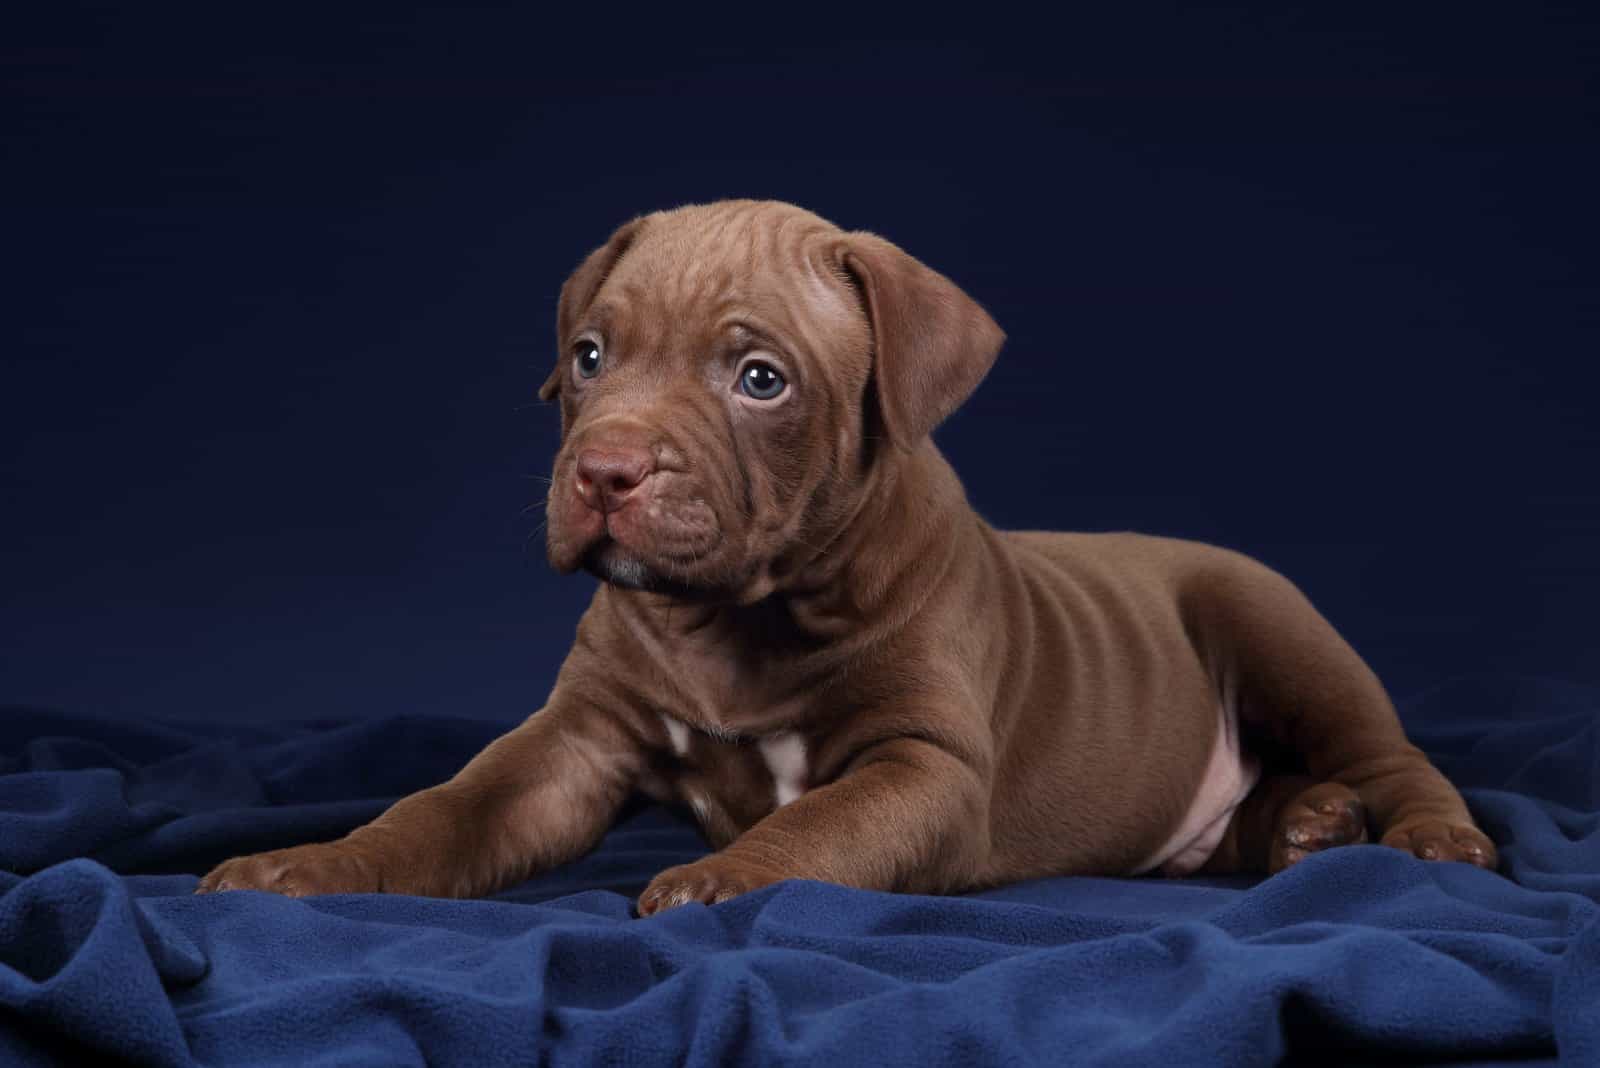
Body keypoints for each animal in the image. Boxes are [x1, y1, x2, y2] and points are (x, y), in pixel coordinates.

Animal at [200, 198, 1497, 908]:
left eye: (759, 379)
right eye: (587, 356)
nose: (605, 472)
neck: (730, 614)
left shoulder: (924, 766)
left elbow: (819, 827)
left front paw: (723, 880)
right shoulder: (571, 743)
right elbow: (446, 809)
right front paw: (306, 867)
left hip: (1277, 630)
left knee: (1389, 756)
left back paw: (1422, 836)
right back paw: (1306, 826)